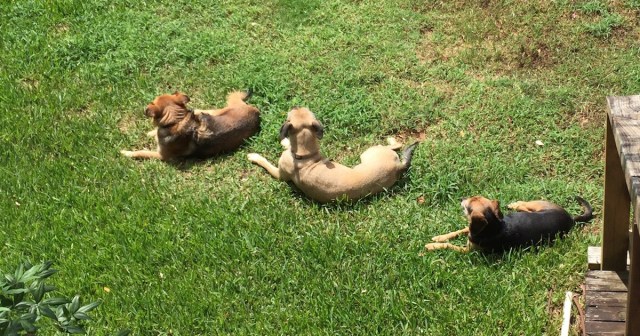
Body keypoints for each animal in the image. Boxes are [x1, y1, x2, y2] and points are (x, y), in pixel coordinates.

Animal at [120, 91, 260, 161]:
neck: (176, 121)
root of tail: (255, 112)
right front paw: (152, 133)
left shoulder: (162, 156)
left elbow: (141, 152)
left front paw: (126, 153)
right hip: (211, 112)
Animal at [244, 107, 416, 202]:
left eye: (290, 114)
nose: (295, 104)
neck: (306, 154)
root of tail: (398, 167)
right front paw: (286, 143)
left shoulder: (279, 174)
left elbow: (266, 162)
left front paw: (255, 156)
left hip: (368, 152)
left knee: (396, 145)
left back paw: (390, 139)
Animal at [424, 196, 596, 253]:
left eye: (468, 205)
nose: (461, 198)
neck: (493, 225)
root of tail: (571, 218)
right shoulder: (470, 228)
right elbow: (459, 230)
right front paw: (440, 237)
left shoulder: (469, 251)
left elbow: (450, 245)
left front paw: (431, 246)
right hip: (537, 206)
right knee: (524, 207)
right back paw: (514, 205)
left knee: (526, 205)